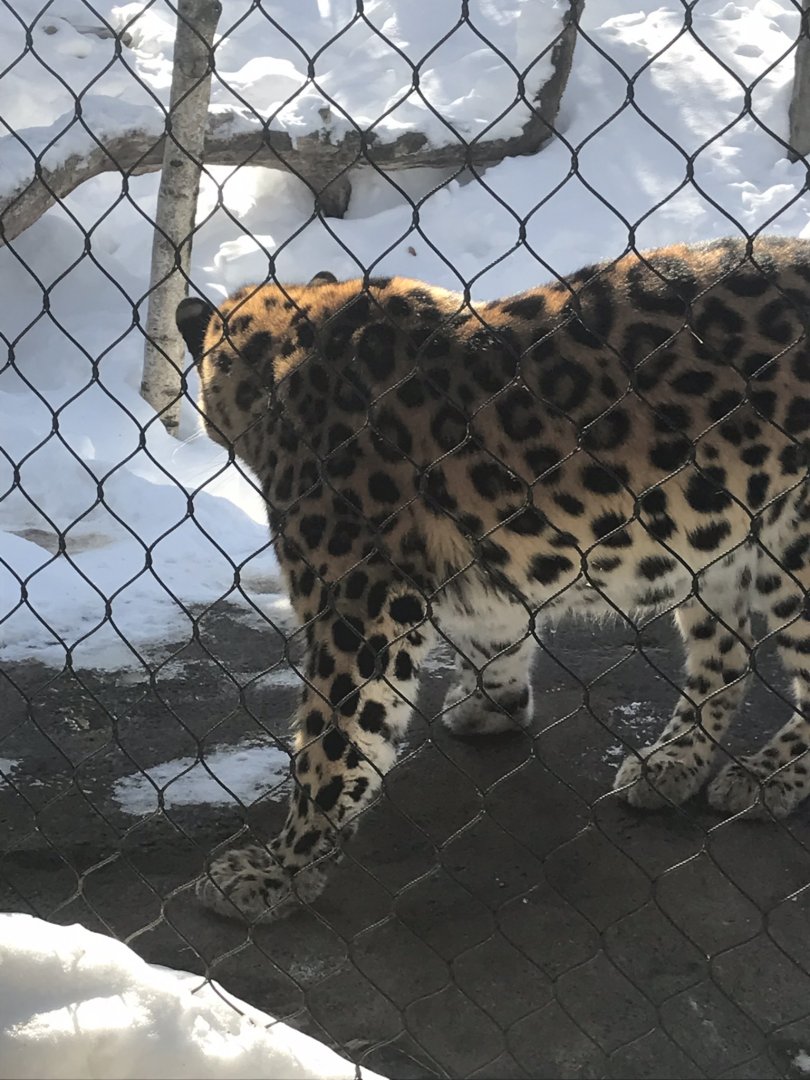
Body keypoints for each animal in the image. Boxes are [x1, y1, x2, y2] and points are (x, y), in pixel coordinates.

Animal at [176, 235, 810, 922]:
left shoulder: (358, 599)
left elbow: (332, 742)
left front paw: (278, 871)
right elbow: (496, 634)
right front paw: (492, 704)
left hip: (794, 543)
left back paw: (768, 775)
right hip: (715, 541)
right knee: (727, 657)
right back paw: (672, 761)